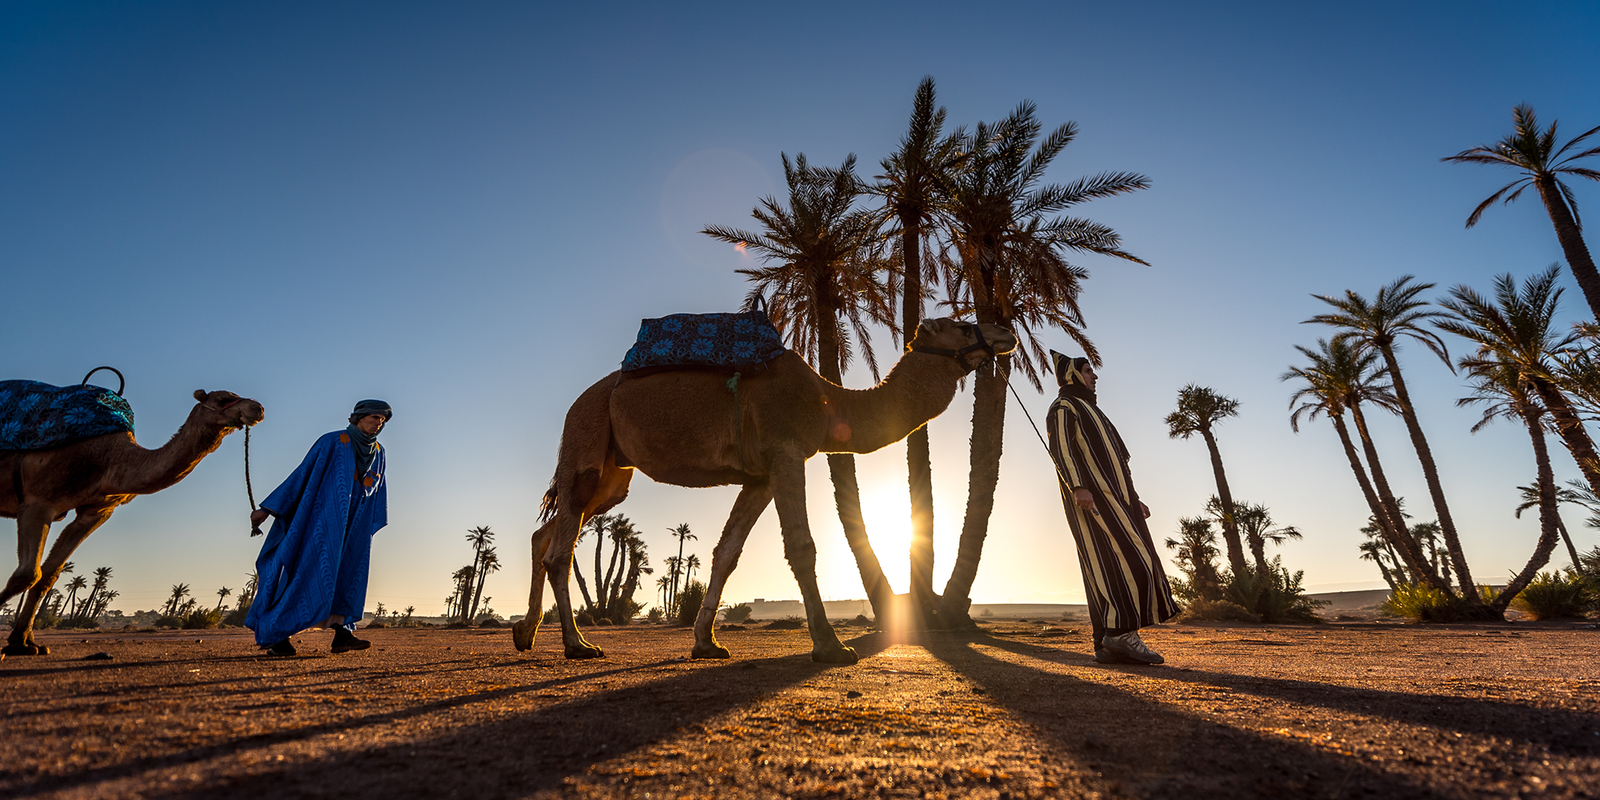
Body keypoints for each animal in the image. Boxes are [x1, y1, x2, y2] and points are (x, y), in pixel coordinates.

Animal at [0, 389, 264, 658]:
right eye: (222, 399)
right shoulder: (38, 502)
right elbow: (27, 574)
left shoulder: (96, 512)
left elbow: (47, 576)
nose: (258, 408)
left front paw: (23, 643)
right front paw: (16, 643)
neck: (111, 459)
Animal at [512, 318, 1017, 664]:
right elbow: (802, 547)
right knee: (560, 547)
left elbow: (726, 554)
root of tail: (578, 402)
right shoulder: (787, 451)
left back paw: (525, 633)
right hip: (586, 437)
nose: (1005, 331)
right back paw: (577, 644)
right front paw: (831, 647)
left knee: (548, 534)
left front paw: (707, 643)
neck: (829, 403)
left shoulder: (759, 476)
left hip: (615, 472)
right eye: (961, 323)